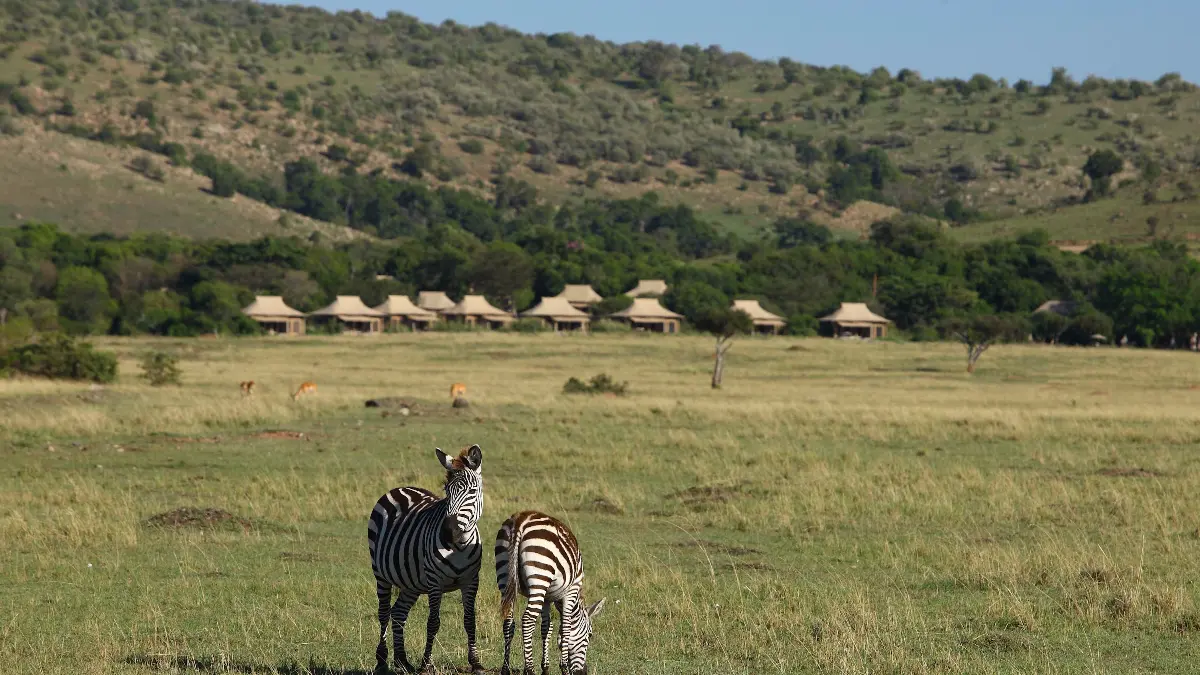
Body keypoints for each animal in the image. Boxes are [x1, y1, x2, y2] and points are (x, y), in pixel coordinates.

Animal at [367, 444, 484, 667]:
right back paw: (382, 659)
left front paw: (475, 662)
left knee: (398, 613)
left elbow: (470, 620)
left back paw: (402, 661)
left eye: (472, 491)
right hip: (381, 574)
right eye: (447, 491)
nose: (448, 532)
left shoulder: (471, 580)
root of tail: (400, 488)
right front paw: (426, 664)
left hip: (411, 582)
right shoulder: (434, 582)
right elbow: (433, 622)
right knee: (384, 613)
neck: (459, 546)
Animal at [494, 509, 609, 672]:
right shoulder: (570, 592)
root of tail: (521, 520)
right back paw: (529, 669)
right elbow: (566, 627)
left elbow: (546, 628)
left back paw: (505, 668)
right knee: (528, 619)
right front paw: (564, 667)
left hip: (504, 573)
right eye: (590, 635)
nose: (583, 672)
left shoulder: (547, 598)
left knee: (508, 622)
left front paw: (545, 668)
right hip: (540, 574)